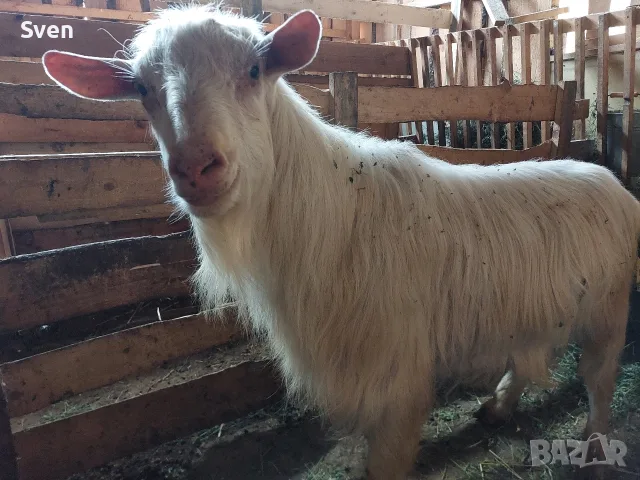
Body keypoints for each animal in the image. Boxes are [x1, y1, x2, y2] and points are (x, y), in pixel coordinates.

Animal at [42, 6, 639, 479]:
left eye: (254, 69)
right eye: (141, 88)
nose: (196, 168)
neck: (329, 212)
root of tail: (608, 178)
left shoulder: (398, 381)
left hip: (609, 311)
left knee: (600, 376)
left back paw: (593, 442)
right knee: (532, 355)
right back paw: (498, 406)